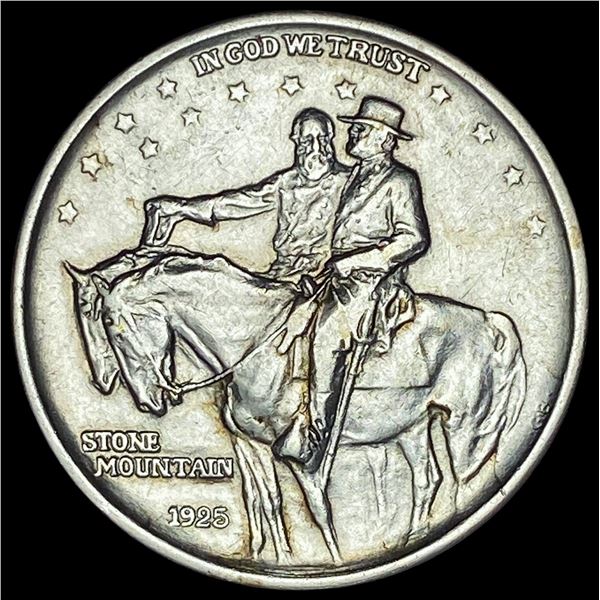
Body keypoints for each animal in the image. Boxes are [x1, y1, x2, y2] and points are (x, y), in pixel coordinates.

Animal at [65, 248, 526, 564]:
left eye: (110, 326)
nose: (148, 401)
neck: (256, 345)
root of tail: (490, 321)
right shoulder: (250, 444)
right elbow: (265, 499)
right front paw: (276, 557)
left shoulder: (301, 454)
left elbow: (319, 511)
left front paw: (330, 562)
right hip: (411, 428)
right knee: (428, 480)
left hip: (465, 429)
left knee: (463, 480)